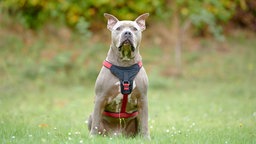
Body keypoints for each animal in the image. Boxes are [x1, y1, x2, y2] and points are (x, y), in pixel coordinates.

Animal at [88, 12, 150, 140]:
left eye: (134, 29)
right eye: (118, 28)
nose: (127, 33)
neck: (125, 64)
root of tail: (117, 135)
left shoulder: (142, 99)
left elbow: (145, 123)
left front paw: (146, 139)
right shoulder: (100, 97)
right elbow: (96, 121)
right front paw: (92, 138)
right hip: (90, 116)